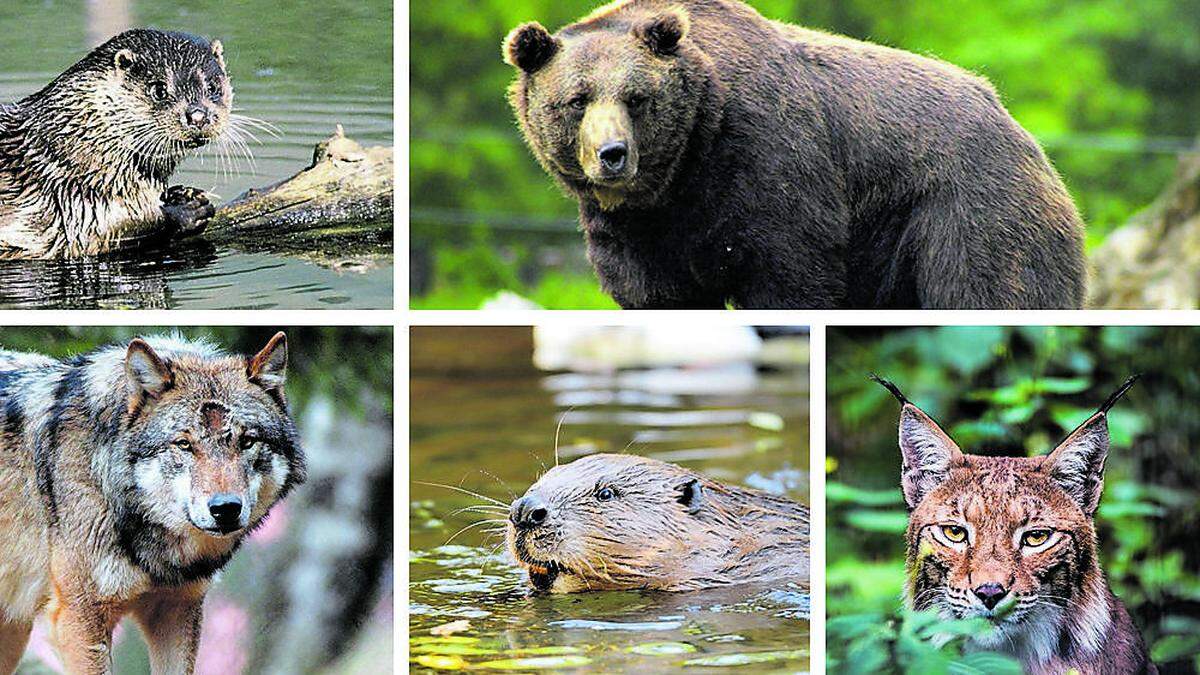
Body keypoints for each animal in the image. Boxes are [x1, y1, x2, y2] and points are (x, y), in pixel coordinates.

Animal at [0, 28, 232, 255]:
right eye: (159, 90)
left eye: (212, 87)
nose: (198, 116)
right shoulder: (76, 202)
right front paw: (187, 210)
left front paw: (181, 193)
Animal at [501, 0, 1084, 307]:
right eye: (576, 100)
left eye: (637, 97)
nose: (613, 154)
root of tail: (1017, 128)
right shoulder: (636, 232)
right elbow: (655, 293)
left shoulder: (767, 162)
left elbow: (789, 271)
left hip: (964, 211)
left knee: (996, 288)